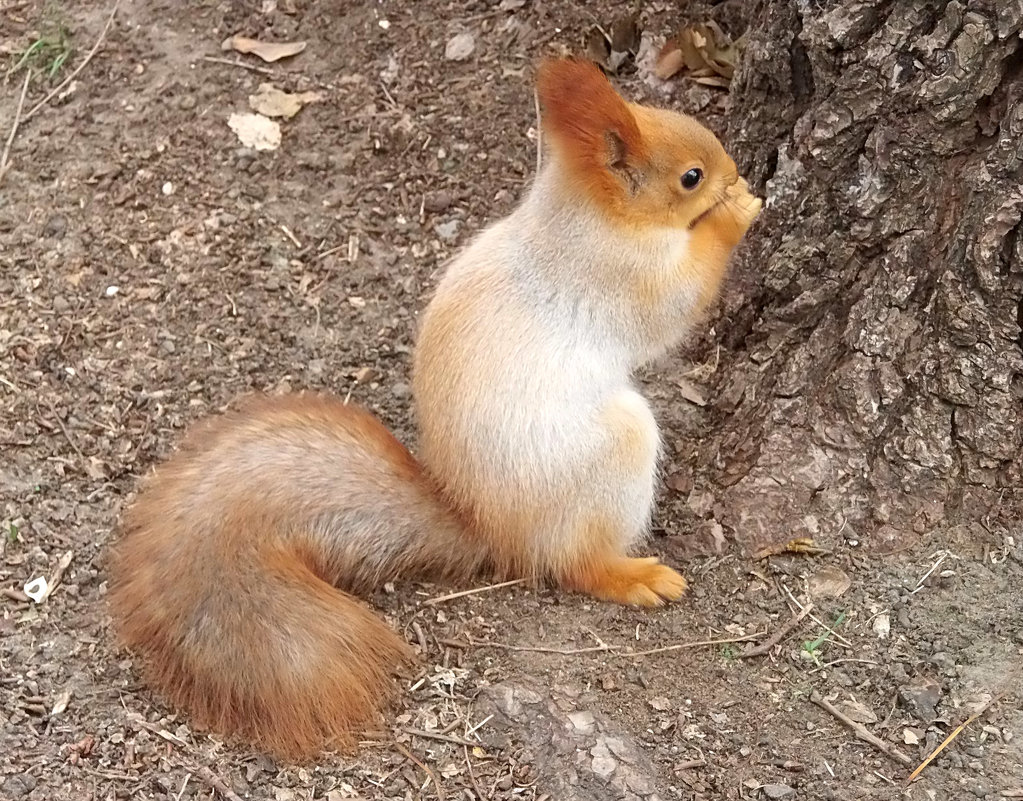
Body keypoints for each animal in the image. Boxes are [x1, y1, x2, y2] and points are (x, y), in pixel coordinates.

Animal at [109, 59, 761, 761]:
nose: (736, 171)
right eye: (690, 176)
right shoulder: (619, 278)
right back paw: (631, 575)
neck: (585, 218)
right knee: (571, 562)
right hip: (611, 458)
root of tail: (485, 524)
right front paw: (736, 214)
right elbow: (675, 304)